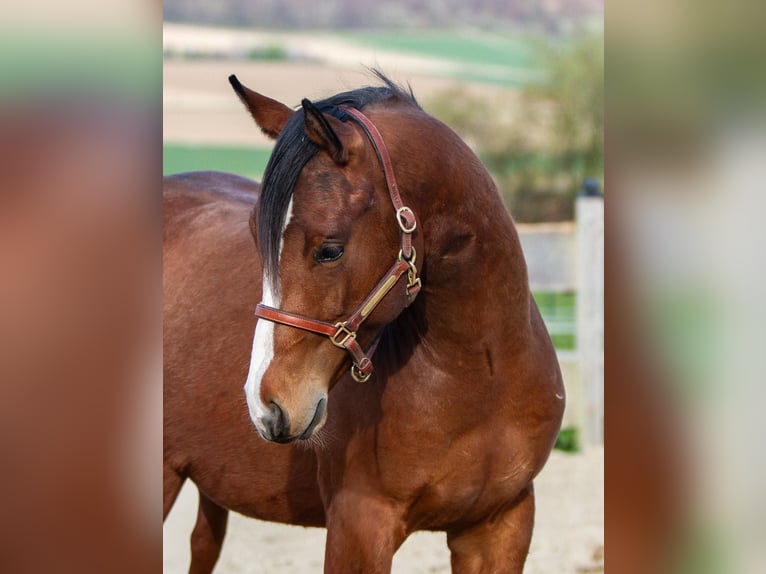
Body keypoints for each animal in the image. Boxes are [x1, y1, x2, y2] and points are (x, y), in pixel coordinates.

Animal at [163, 72, 565, 573]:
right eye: (256, 236)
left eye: (330, 249)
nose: (267, 404)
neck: (481, 375)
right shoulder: (360, 523)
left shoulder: (499, 525)